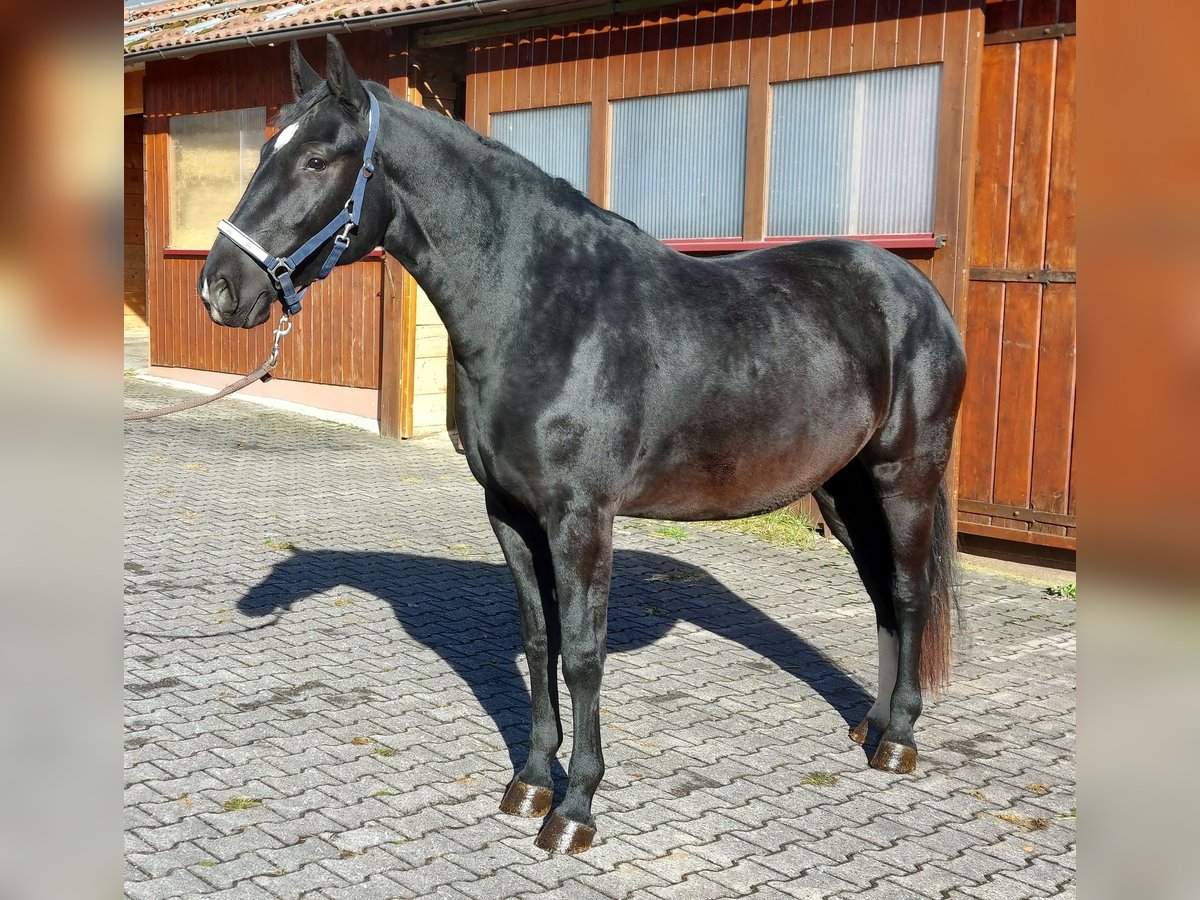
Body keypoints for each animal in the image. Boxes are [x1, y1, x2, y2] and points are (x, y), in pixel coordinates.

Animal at [199, 36, 967, 854]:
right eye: (265, 150)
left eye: (318, 159)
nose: (219, 288)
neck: (544, 310)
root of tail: (912, 290)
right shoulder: (509, 513)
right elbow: (540, 642)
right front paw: (533, 782)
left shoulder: (580, 518)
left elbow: (583, 655)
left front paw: (576, 810)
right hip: (842, 488)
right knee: (882, 595)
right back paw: (872, 724)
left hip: (904, 477)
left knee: (909, 594)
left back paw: (898, 741)